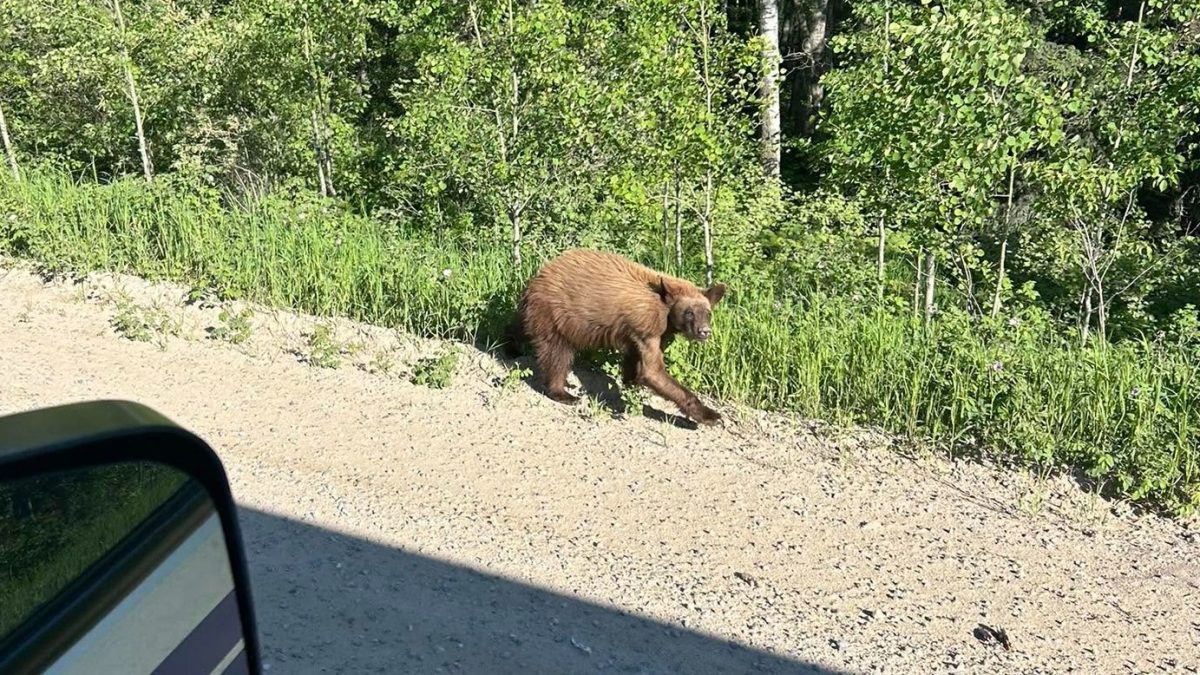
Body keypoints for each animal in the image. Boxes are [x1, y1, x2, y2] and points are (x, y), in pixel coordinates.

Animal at [505, 248, 727, 426]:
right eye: (689, 312)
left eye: (708, 313)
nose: (704, 332)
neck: (665, 307)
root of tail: (536, 278)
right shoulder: (648, 325)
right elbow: (653, 371)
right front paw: (710, 415)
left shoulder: (651, 333)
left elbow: (635, 360)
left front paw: (630, 384)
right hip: (555, 313)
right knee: (557, 353)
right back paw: (562, 393)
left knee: (523, 328)